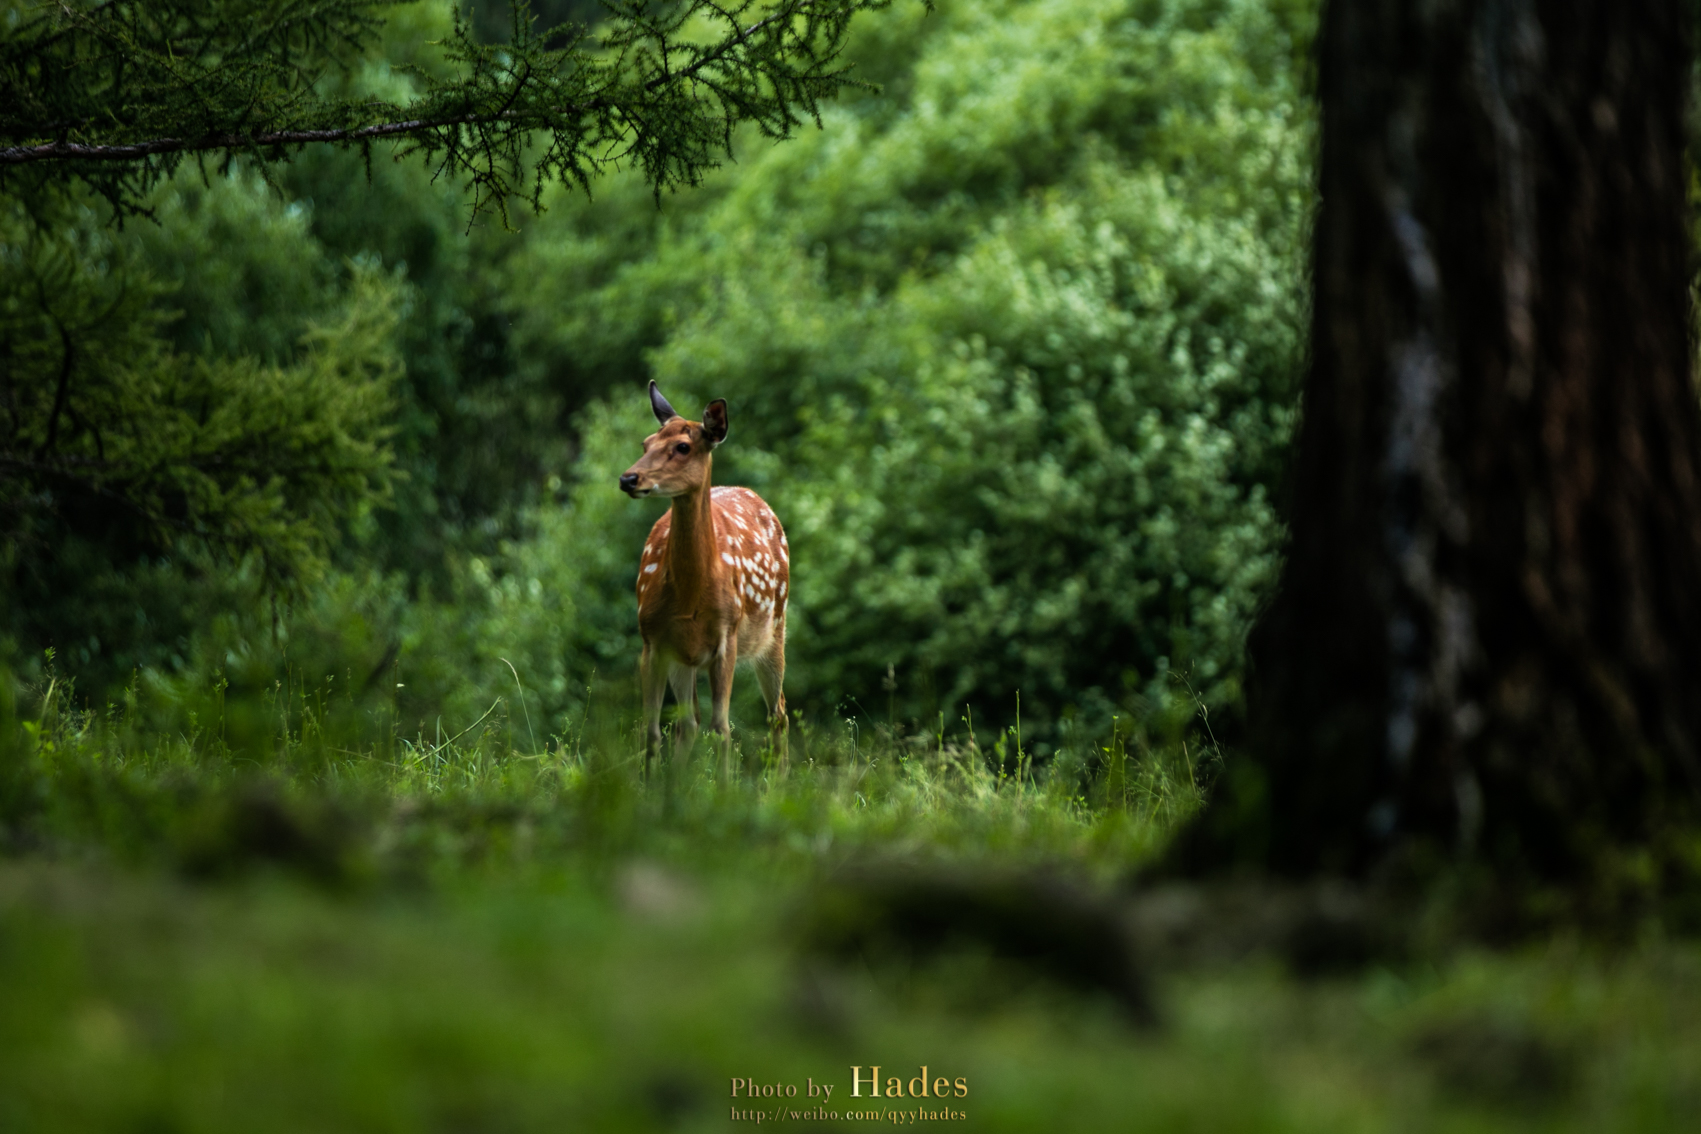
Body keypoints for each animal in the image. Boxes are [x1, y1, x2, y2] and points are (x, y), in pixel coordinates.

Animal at [619, 381, 789, 776]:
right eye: (646, 443)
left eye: (683, 446)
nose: (628, 478)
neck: (690, 596)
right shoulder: (653, 641)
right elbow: (653, 732)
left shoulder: (727, 637)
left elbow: (723, 728)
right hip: (686, 658)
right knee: (689, 724)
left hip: (775, 629)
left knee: (778, 713)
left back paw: (781, 781)